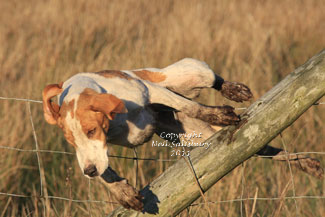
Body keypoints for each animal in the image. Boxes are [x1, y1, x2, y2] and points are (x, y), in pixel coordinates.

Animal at [42, 57, 322, 210]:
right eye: (71, 142)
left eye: (91, 130)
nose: (88, 172)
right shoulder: (89, 155)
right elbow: (104, 173)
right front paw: (121, 192)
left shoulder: (154, 91)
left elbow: (191, 106)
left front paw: (218, 112)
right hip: (203, 137)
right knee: (265, 148)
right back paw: (305, 163)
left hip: (192, 72)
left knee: (213, 79)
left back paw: (233, 90)